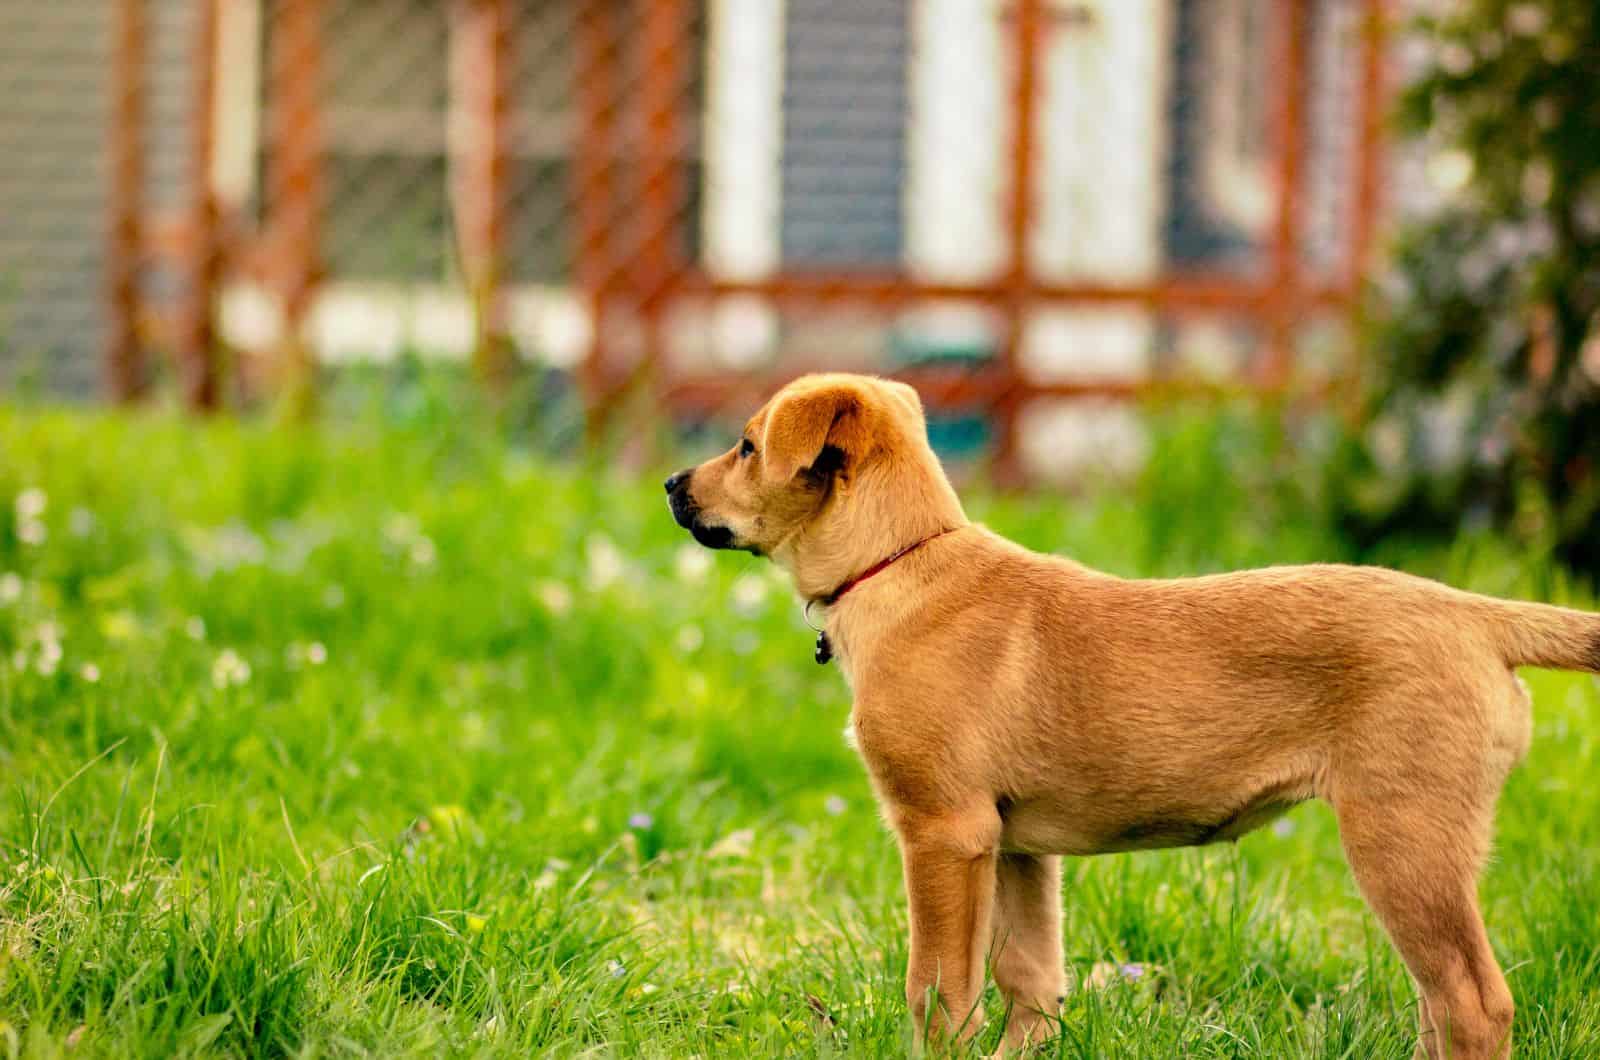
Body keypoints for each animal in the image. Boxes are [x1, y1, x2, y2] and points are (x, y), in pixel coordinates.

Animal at [665, 376, 1600, 1060]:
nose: (672, 485)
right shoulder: (1016, 848)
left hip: (1404, 838)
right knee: (1440, 1007)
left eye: (746, 445)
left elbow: (938, 990)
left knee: (1472, 1003)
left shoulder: (942, 833)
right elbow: (1030, 982)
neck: (900, 562)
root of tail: (1476, 615)